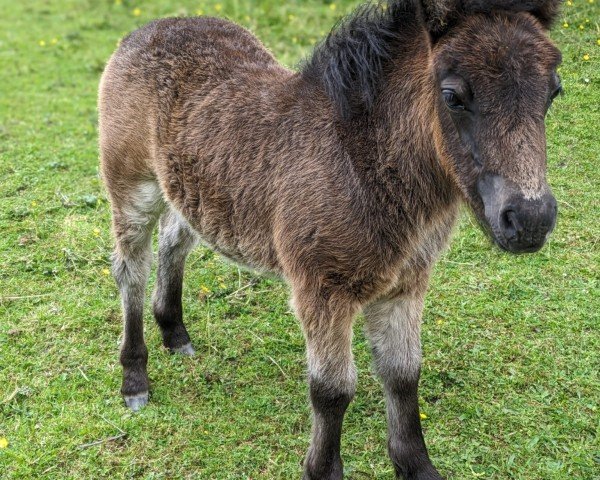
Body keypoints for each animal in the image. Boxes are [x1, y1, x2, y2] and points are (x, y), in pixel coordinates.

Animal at [98, 0, 564, 476]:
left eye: (553, 91)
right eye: (453, 96)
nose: (530, 220)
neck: (362, 163)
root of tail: (151, 28)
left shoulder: (406, 286)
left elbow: (403, 374)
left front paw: (415, 464)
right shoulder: (322, 290)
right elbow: (332, 391)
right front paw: (321, 468)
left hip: (188, 189)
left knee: (175, 239)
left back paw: (175, 332)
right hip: (132, 185)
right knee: (130, 269)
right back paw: (134, 378)